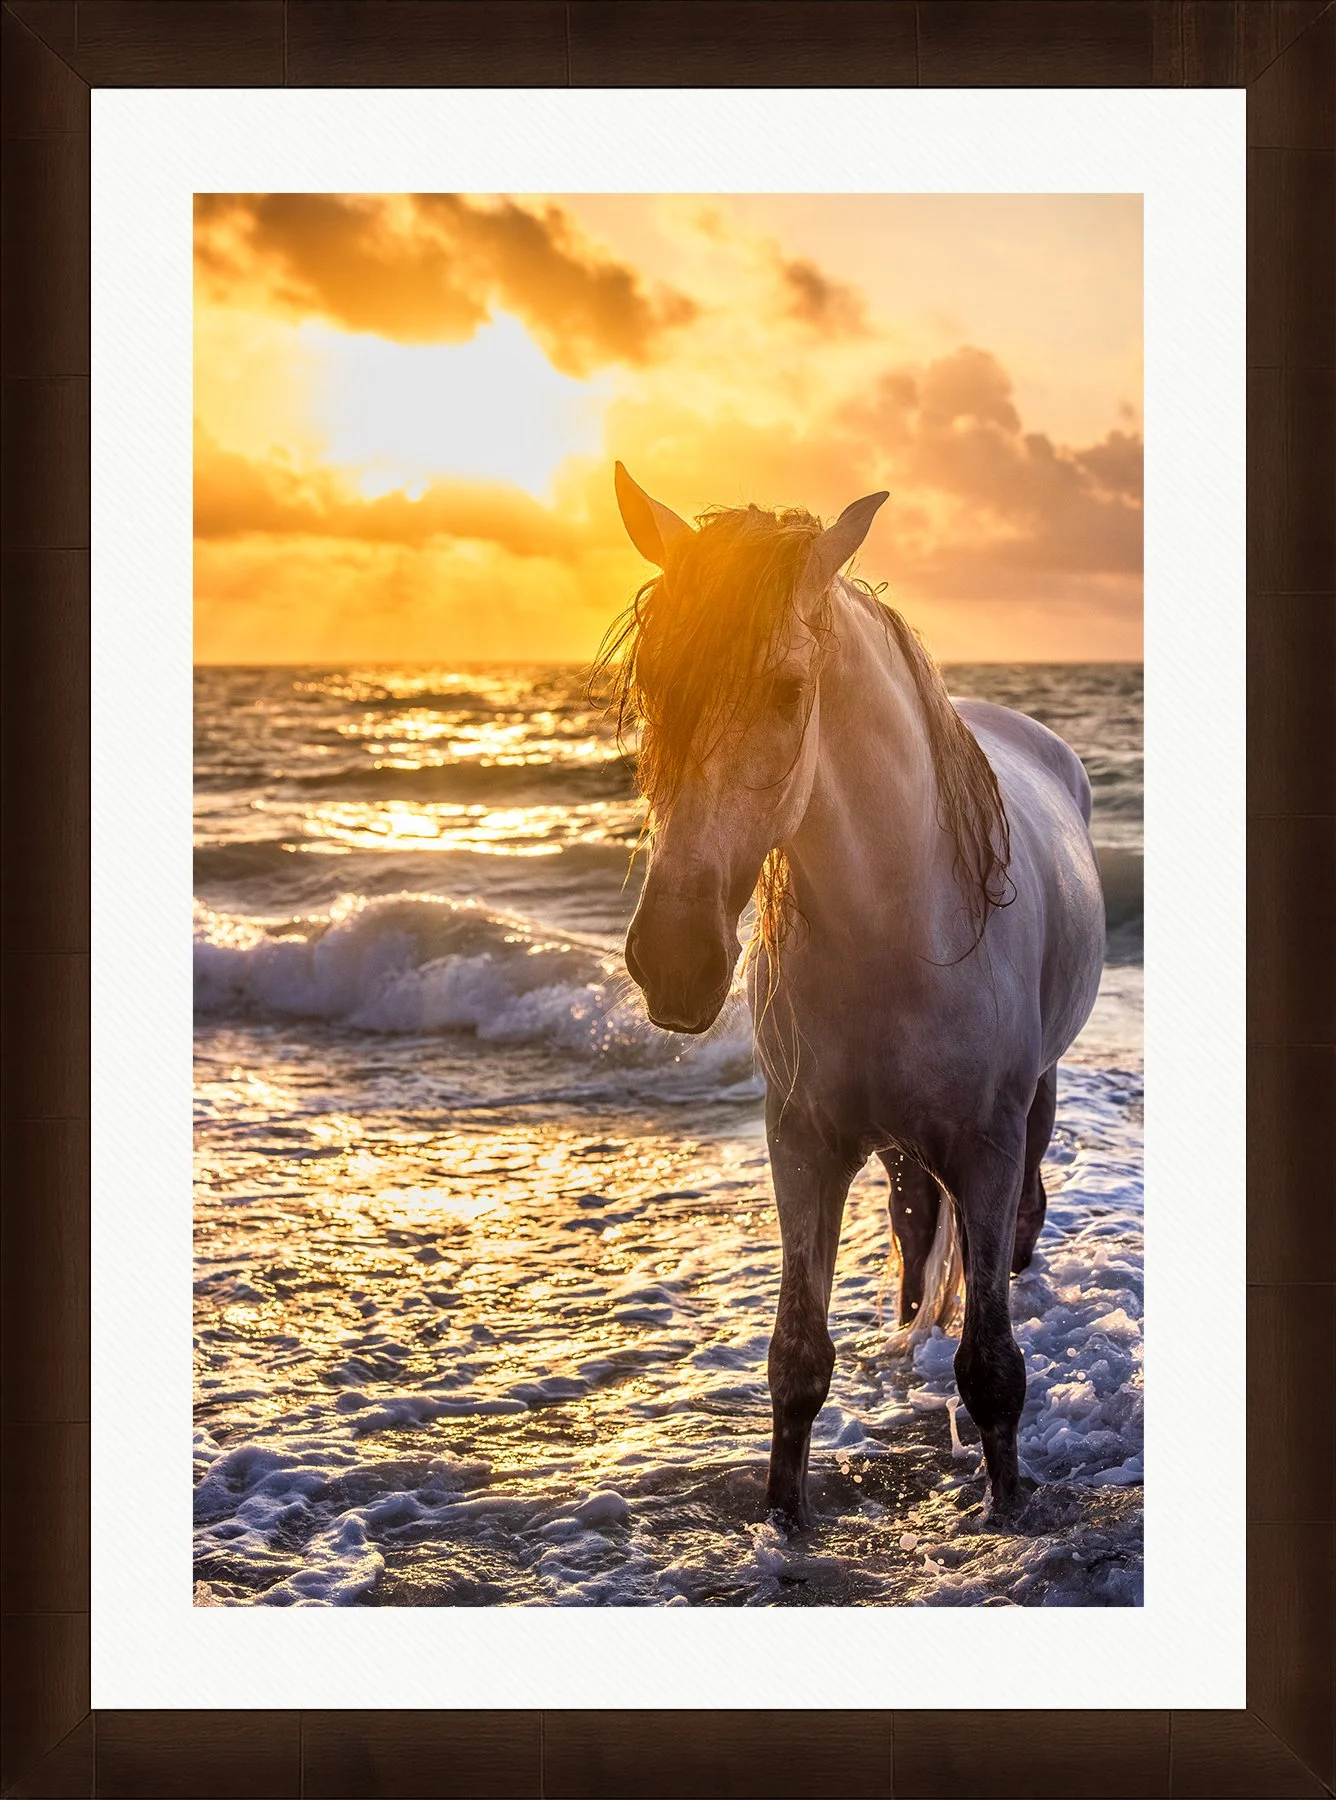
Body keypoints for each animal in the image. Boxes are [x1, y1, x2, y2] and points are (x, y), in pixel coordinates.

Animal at [601, 463, 1106, 1526]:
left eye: (790, 690)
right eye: (655, 685)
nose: (674, 960)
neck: (902, 932)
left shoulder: (986, 1147)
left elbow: (993, 1369)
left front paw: (1007, 1511)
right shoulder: (803, 1144)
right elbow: (796, 1360)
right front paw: (785, 1523)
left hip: (1034, 1103)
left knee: (1021, 1223)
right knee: (915, 1233)